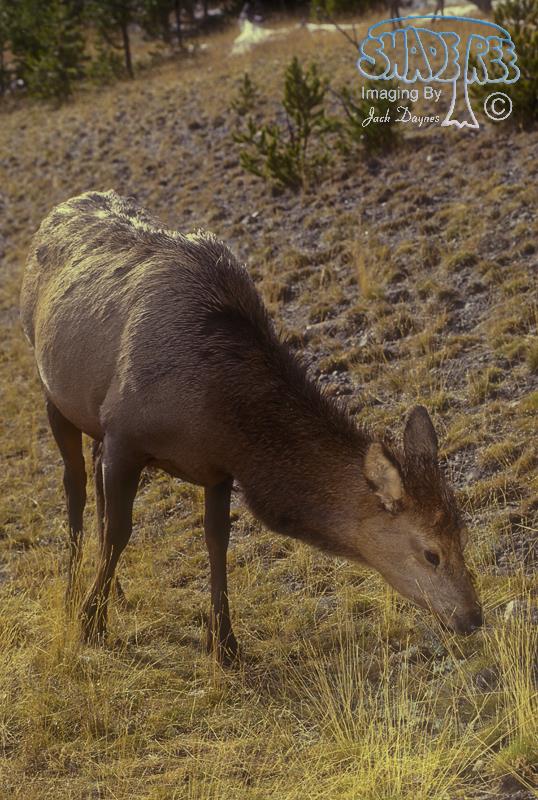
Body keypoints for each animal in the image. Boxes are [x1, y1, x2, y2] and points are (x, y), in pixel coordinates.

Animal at [20, 191, 482, 664]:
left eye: (462, 533)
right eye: (431, 553)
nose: (473, 616)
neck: (220, 413)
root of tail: (57, 211)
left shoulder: (216, 467)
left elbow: (217, 541)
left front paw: (224, 642)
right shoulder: (125, 435)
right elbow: (119, 531)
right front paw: (91, 624)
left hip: (95, 423)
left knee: (94, 478)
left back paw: (118, 591)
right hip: (52, 389)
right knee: (75, 485)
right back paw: (75, 591)